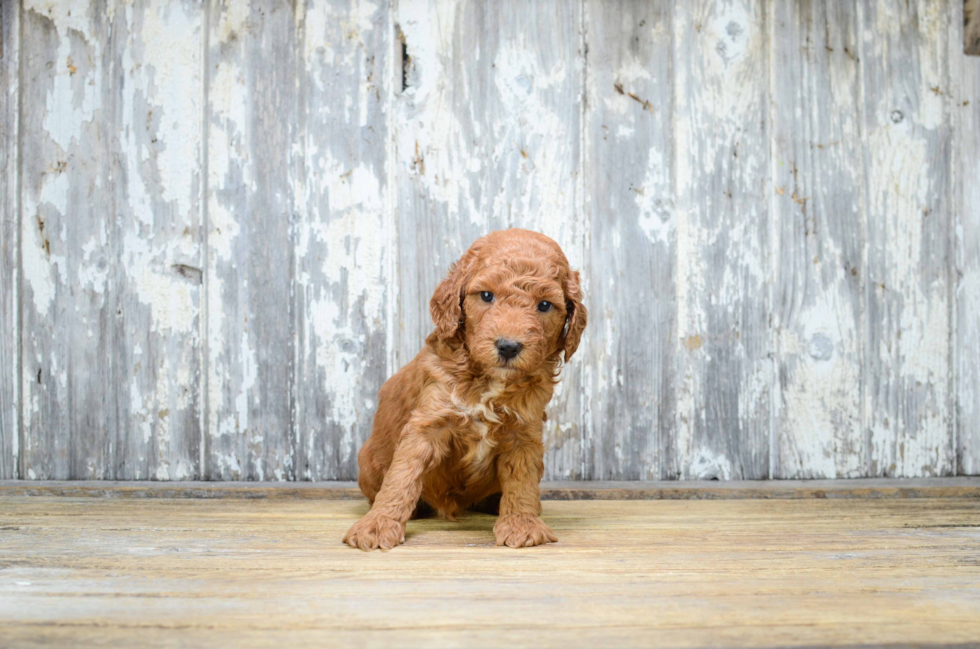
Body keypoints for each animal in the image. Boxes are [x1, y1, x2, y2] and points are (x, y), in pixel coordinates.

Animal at [344, 230, 584, 548]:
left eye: (545, 305)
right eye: (486, 295)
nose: (509, 346)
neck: (488, 381)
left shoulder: (524, 432)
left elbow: (521, 480)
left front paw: (521, 522)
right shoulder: (428, 421)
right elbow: (402, 476)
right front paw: (378, 524)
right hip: (368, 461)